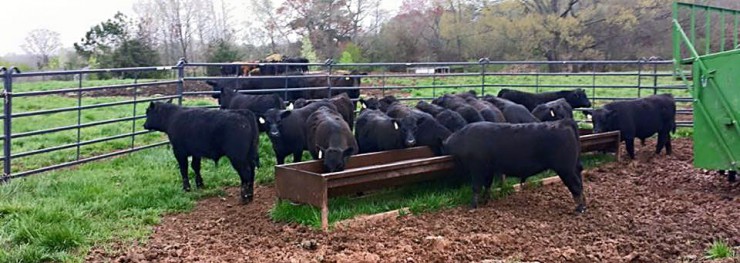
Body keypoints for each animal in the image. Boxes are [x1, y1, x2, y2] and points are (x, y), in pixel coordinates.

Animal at [446, 120, 584, 213]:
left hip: (566, 169)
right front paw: (485, 201)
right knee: (580, 183)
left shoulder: (477, 168)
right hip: (574, 167)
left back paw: (580, 208)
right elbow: (487, 185)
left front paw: (473, 206)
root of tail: (564, 122)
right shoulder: (489, 169)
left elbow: (476, 187)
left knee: (576, 185)